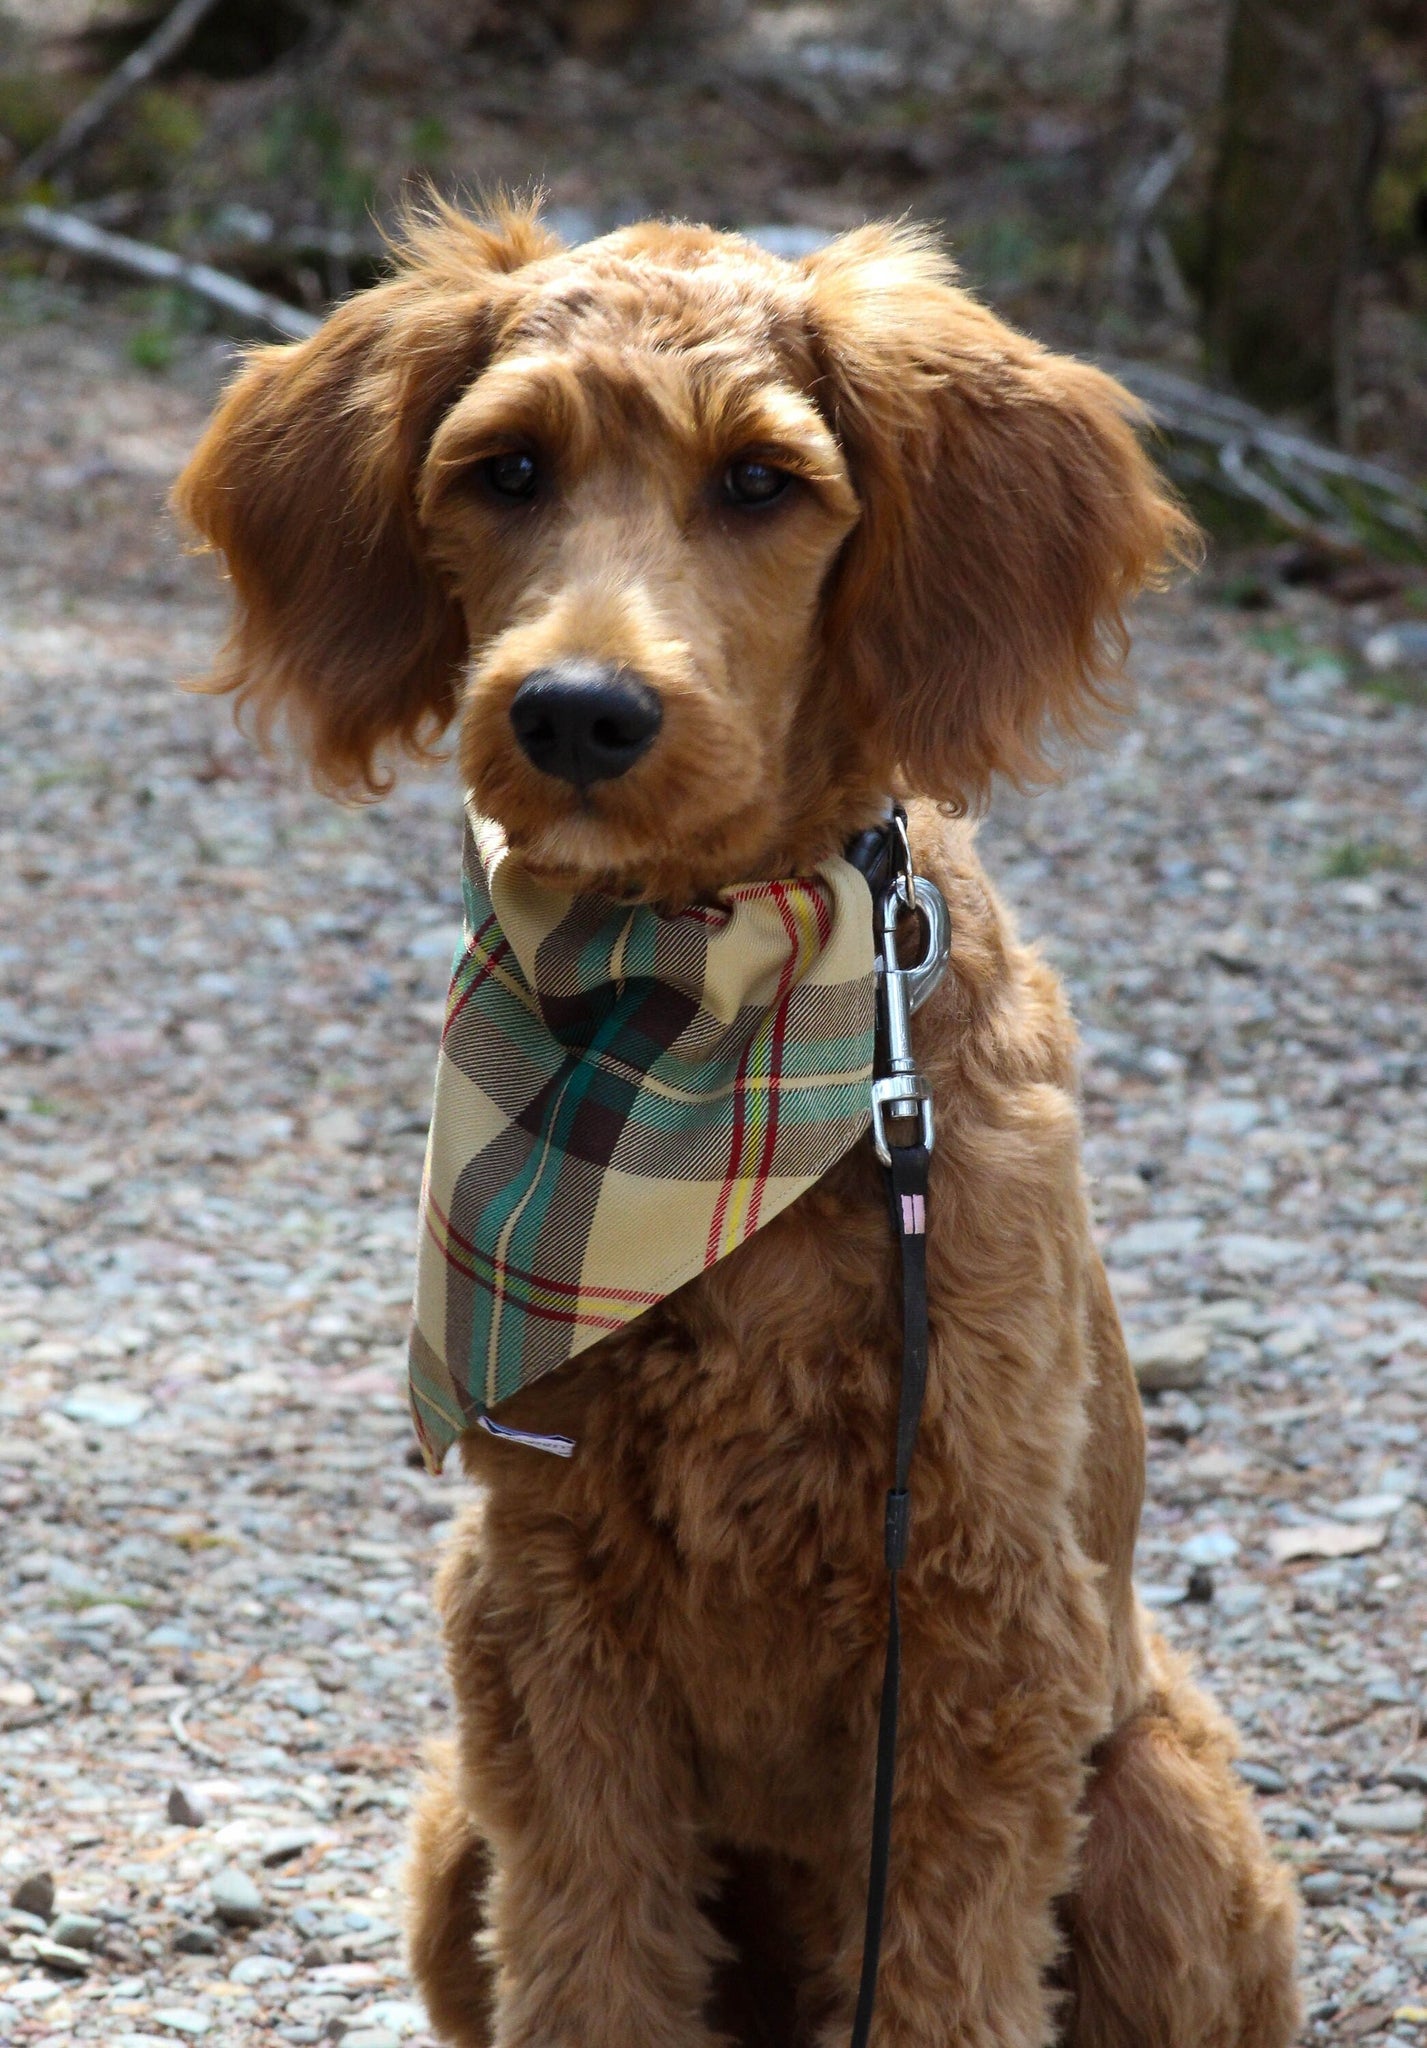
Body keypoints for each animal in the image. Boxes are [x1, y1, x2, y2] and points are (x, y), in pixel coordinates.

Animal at [173, 203, 1293, 2048]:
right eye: (506, 468)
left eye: (763, 482)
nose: (577, 711)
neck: (692, 1017)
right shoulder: (546, 1609)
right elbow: (592, 1957)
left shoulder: (971, 1610)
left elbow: (942, 1979)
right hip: (450, 1827)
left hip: (1154, 1812)